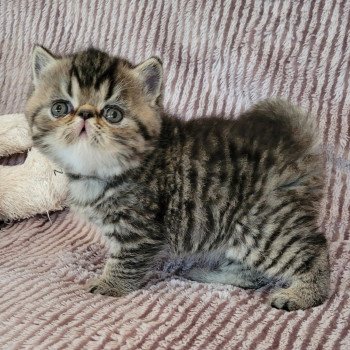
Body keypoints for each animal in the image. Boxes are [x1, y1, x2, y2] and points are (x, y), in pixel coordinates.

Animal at [26, 47, 330, 312]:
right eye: (60, 108)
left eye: (113, 114)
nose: (86, 114)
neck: (101, 170)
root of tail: (293, 143)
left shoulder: (139, 228)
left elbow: (126, 260)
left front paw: (110, 284)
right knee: (252, 272)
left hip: (263, 225)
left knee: (314, 249)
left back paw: (303, 294)